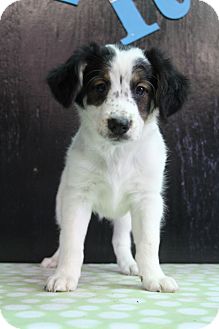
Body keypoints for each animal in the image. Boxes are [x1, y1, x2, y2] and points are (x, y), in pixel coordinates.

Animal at [42, 42, 189, 290]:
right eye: (100, 86)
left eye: (141, 89)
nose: (119, 124)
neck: (117, 155)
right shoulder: (77, 197)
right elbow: (72, 241)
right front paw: (65, 275)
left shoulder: (147, 199)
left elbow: (148, 243)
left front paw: (154, 277)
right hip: (60, 202)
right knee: (63, 236)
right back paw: (55, 260)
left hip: (124, 214)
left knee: (120, 238)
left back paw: (129, 264)